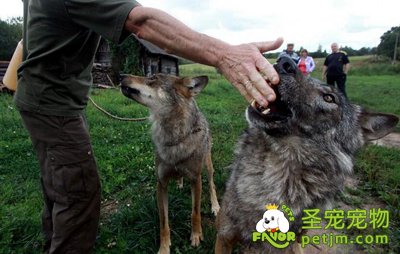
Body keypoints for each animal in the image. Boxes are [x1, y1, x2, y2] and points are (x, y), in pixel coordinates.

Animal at [120, 73, 220, 254]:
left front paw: (196, 236)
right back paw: (180, 184)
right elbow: (163, 222)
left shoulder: (196, 179)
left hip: (207, 166)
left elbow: (195, 212)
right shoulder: (161, 184)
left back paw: (215, 206)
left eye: (152, 78)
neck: (174, 138)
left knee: (212, 185)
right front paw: (164, 248)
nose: (120, 75)